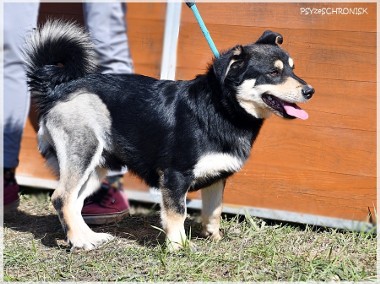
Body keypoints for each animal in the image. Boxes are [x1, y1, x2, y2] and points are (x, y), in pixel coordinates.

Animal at [24, 20, 314, 251]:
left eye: (293, 68)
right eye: (273, 72)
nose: (310, 91)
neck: (220, 107)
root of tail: (57, 89)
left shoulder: (217, 178)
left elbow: (214, 212)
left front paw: (214, 239)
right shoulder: (175, 175)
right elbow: (178, 214)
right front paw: (179, 247)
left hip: (96, 168)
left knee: (74, 202)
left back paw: (88, 237)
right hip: (82, 152)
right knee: (61, 198)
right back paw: (80, 241)